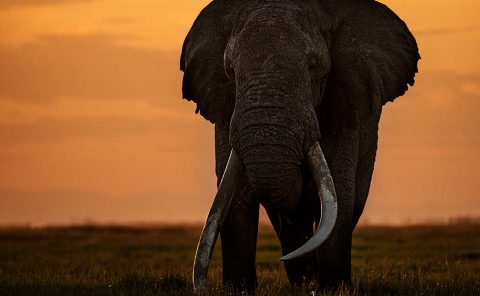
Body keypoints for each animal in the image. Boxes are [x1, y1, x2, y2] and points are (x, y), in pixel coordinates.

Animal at [180, 0, 420, 292]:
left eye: (313, 67)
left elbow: (340, 187)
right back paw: (303, 282)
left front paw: (334, 289)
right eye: (231, 71)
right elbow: (234, 196)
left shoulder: (347, 101)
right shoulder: (225, 110)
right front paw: (239, 290)